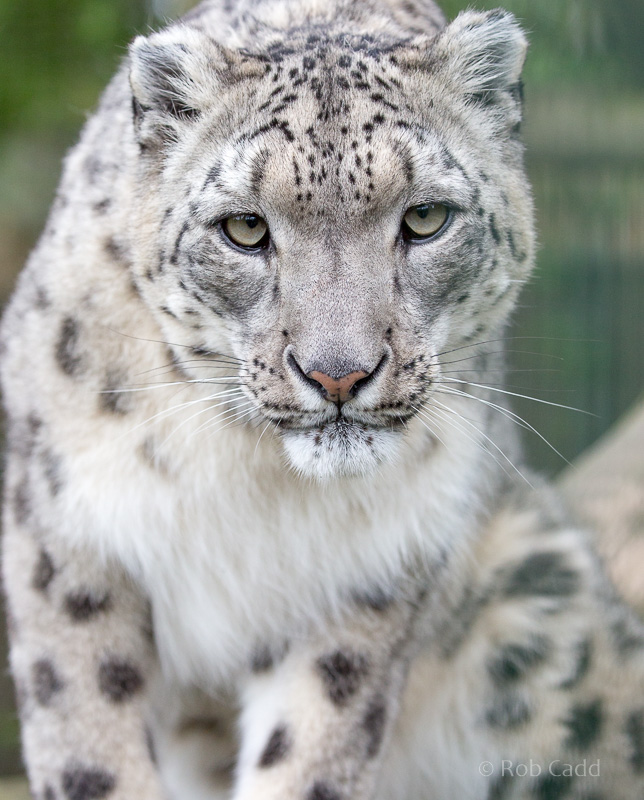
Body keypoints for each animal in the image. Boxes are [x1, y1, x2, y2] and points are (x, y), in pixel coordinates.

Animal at [2, 0, 644, 798]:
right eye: (244, 227)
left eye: (426, 218)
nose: (338, 374)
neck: (256, 483)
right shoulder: (66, 540)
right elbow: (89, 742)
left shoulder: (372, 572)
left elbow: (311, 753)